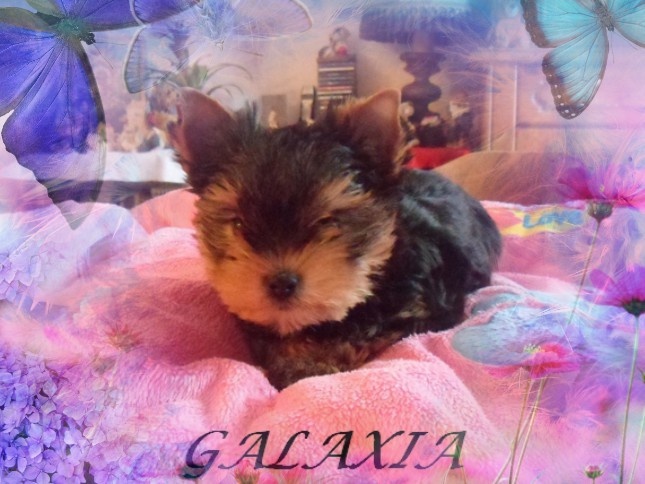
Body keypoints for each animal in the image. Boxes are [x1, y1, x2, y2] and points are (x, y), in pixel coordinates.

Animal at [166, 88, 502, 389]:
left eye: (327, 222)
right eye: (238, 223)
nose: (281, 282)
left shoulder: (430, 311)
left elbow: (370, 334)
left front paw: (312, 364)